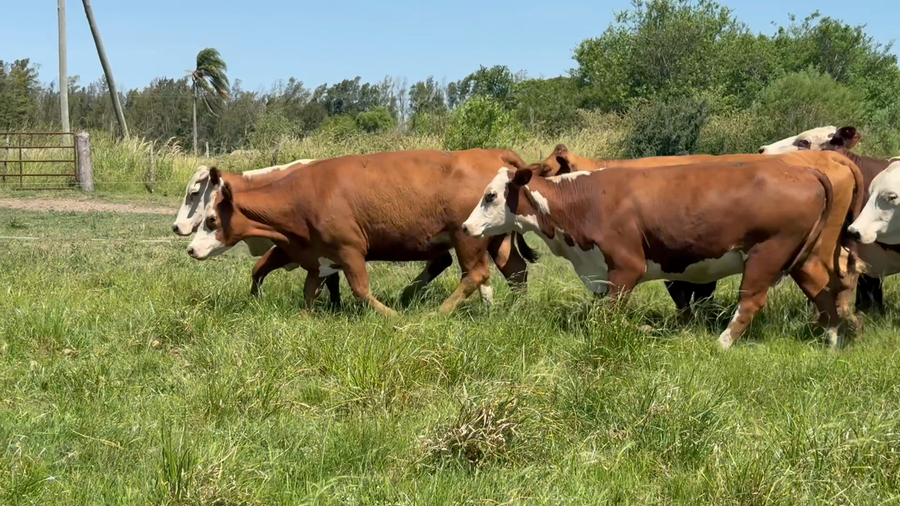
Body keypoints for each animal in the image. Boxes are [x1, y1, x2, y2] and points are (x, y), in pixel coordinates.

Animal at [186, 149, 540, 315]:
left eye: (211, 220)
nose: (190, 248)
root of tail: (490, 153)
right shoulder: (318, 257)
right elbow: (309, 292)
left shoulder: (349, 250)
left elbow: (360, 289)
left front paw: (393, 317)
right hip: (495, 241)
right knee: (515, 270)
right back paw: (515, 310)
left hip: (467, 239)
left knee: (475, 275)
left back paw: (436, 312)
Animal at [463, 153, 864, 349]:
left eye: (490, 195)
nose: (466, 227)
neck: (582, 202)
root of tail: (804, 170)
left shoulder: (627, 267)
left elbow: (609, 319)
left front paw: (642, 331)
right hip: (802, 258)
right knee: (822, 293)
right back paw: (832, 341)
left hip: (767, 253)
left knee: (752, 300)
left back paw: (722, 343)